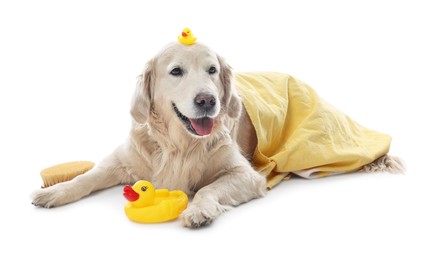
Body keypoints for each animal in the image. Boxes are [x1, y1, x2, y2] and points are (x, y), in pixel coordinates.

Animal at [32, 42, 402, 228]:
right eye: (176, 71)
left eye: (212, 70)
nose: (208, 100)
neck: (179, 144)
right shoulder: (121, 160)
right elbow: (86, 178)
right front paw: (53, 193)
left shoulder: (245, 174)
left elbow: (208, 188)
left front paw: (199, 210)